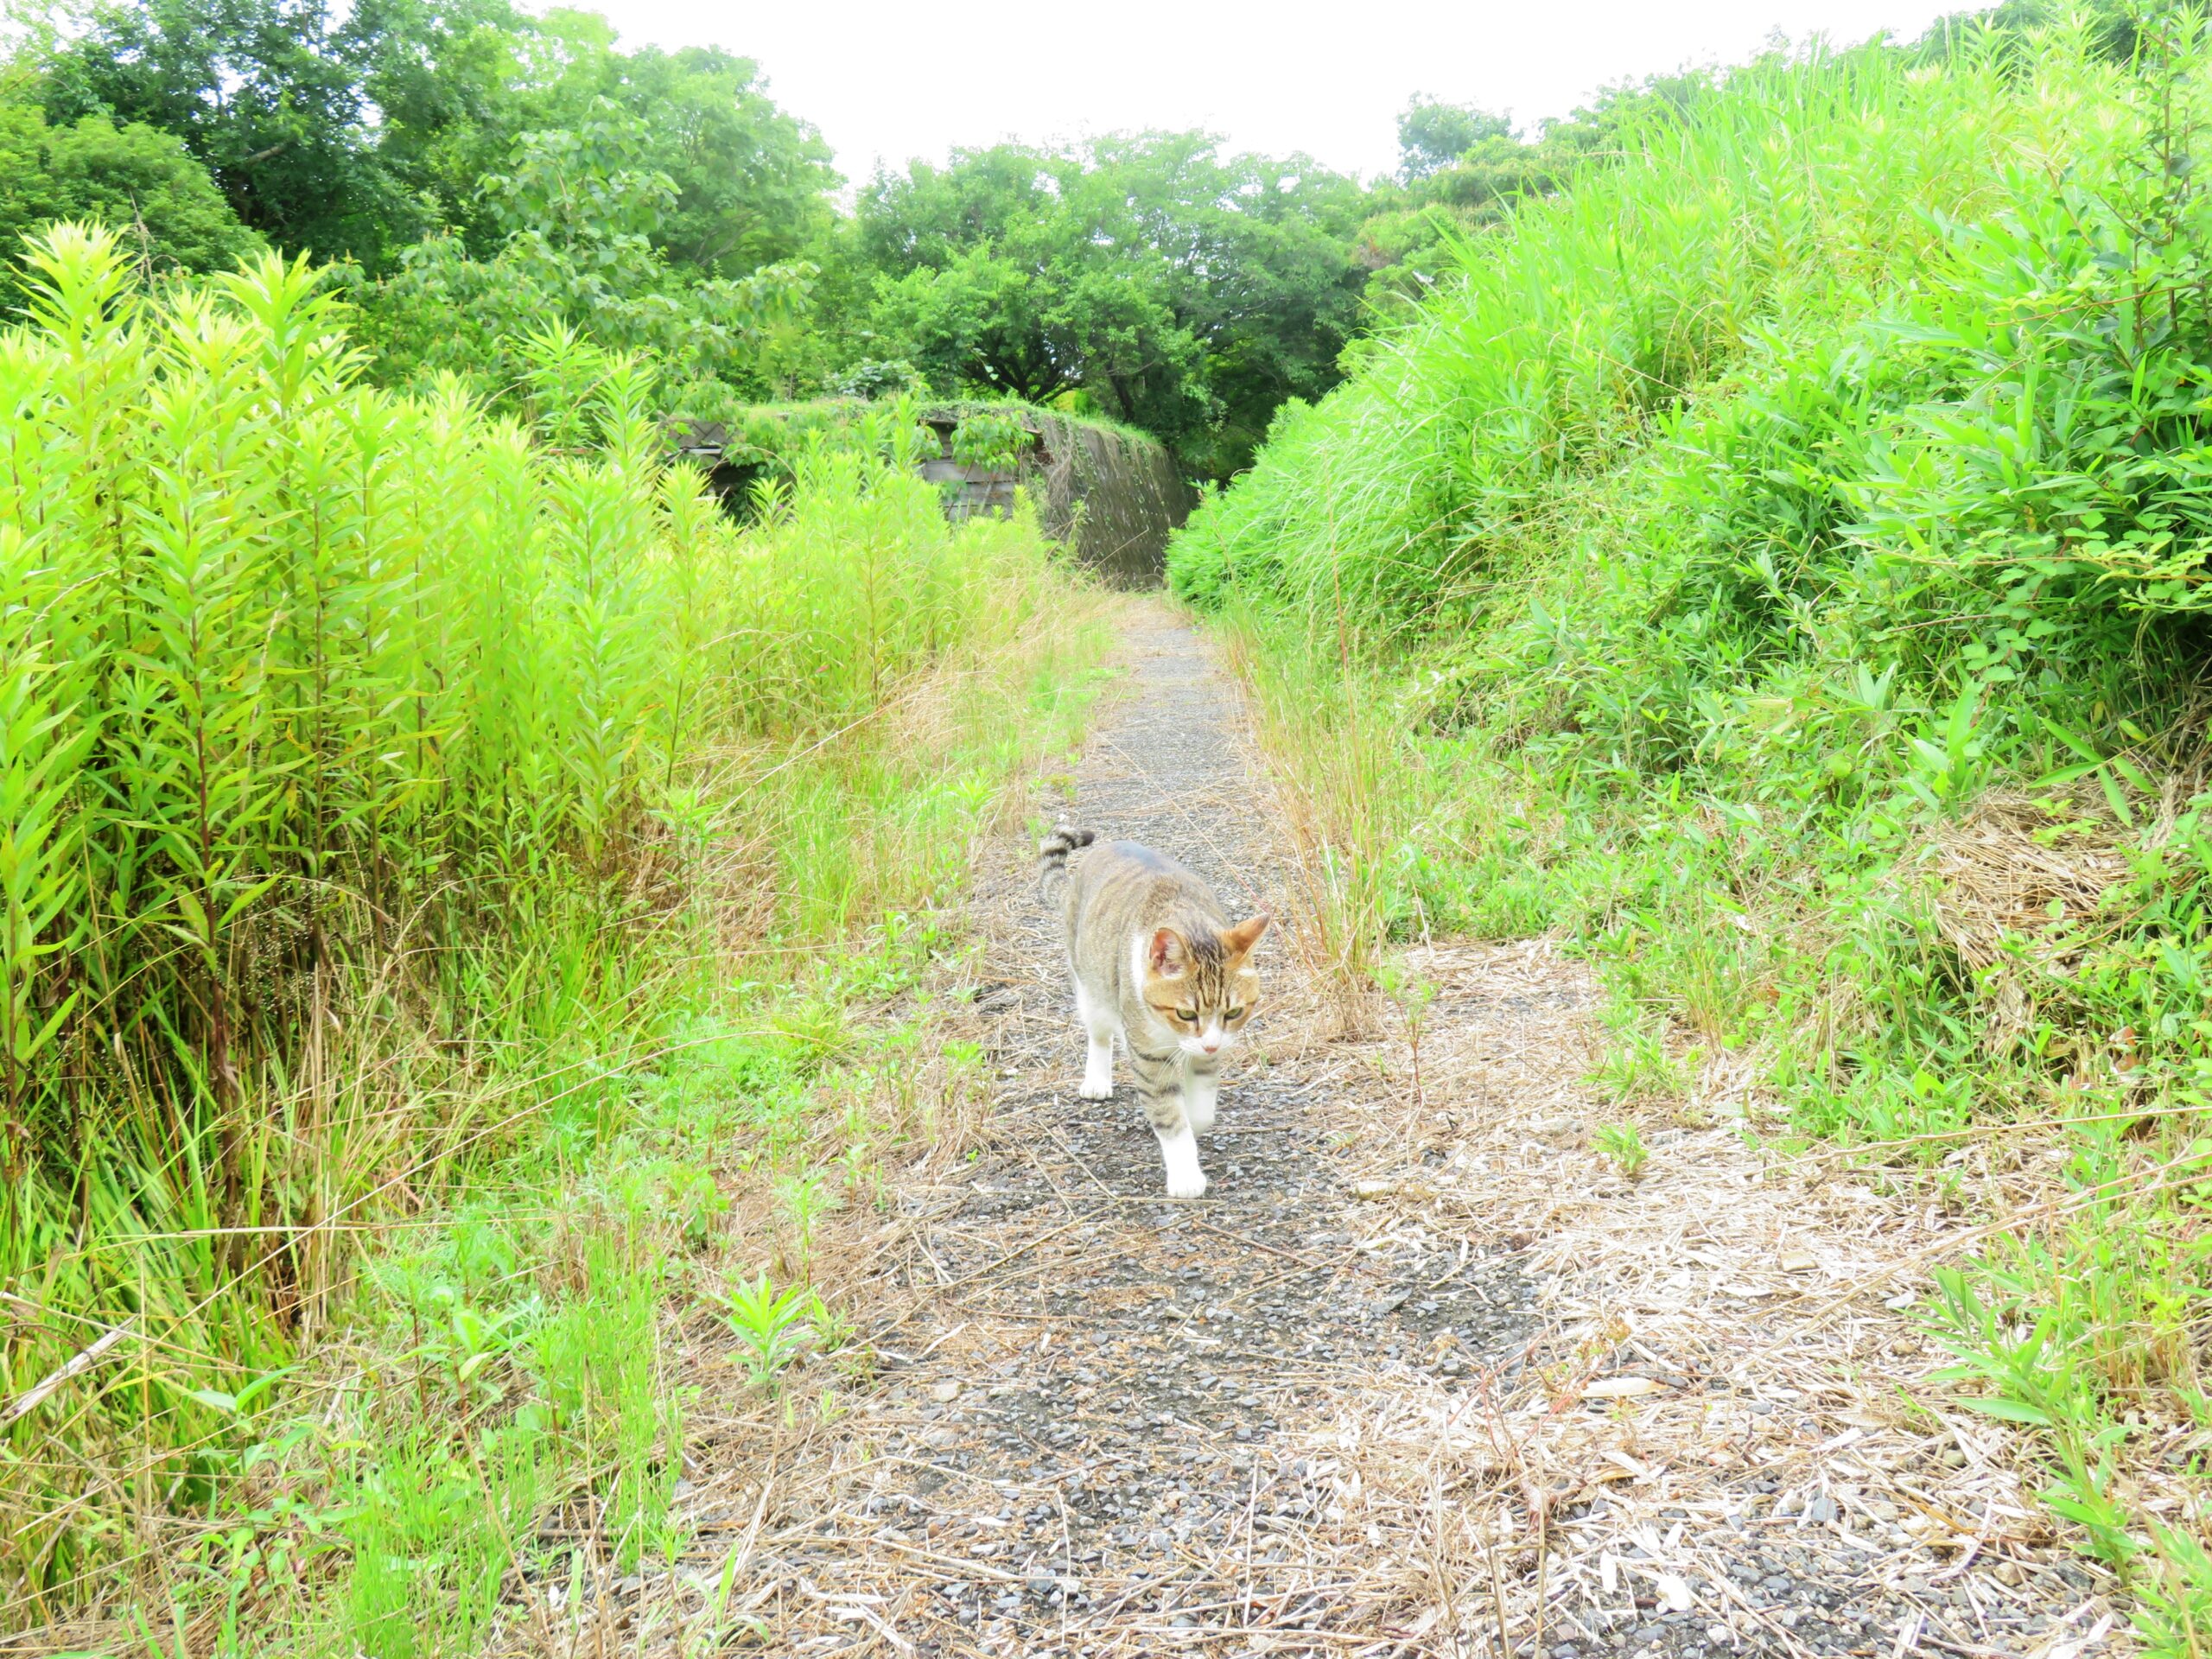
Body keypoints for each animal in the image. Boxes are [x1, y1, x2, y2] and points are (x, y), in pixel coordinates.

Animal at [1030, 827, 1265, 1194]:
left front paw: (1193, 1122)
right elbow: (1169, 1116)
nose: (1210, 1044)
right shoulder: (1149, 1056)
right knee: (1099, 1035)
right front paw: (1185, 1174)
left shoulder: (1209, 1054)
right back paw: (1097, 1079)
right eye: (1186, 1014)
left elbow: (1201, 1110)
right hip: (1090, 988)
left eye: (1233, 1013)